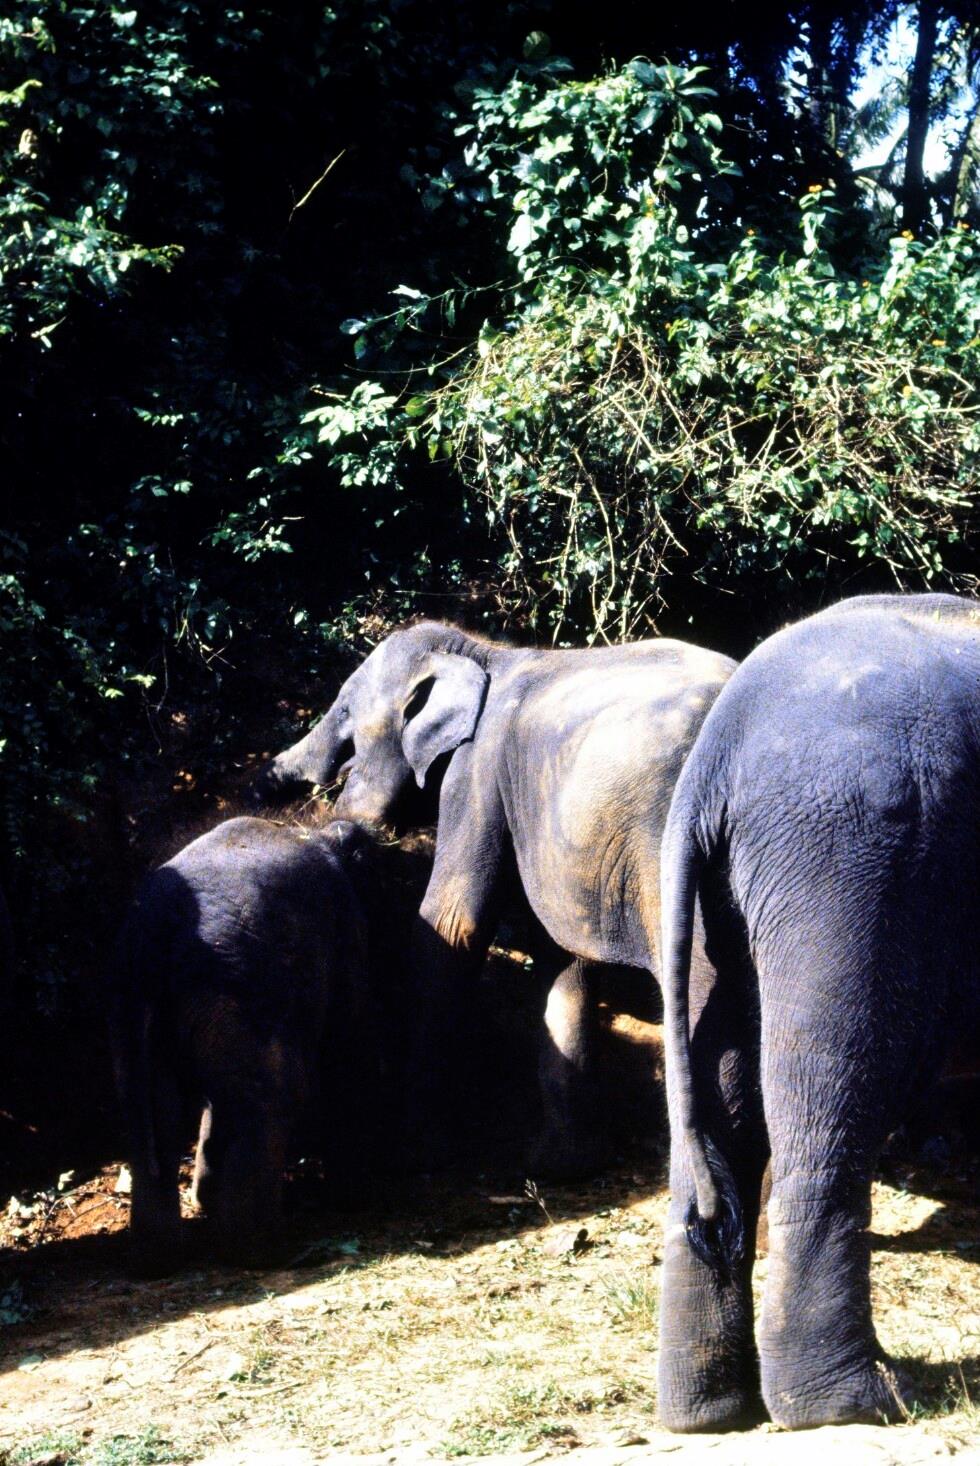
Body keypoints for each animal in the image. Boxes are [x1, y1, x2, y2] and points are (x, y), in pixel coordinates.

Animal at [108, 815, 383, 1274]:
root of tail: (156, 931)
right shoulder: (345, 924)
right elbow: (345, 1042)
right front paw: (355, 1199)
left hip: (133, 1005)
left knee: (153, 1112)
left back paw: (158, 1260)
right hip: (233, 987)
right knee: (273, 1098)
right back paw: (262, 1252)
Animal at [253, 620, 735, 1176]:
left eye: (346, 710)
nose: (258, 790)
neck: (480, 653)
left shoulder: (476, 770)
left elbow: (452, 924)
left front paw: (412, 1151)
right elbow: (561, 958)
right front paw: (559, 1168)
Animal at [658, 592, 980, 1431]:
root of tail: (718, 754)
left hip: (722, 903)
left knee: (722, 1113)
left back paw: (706, 1412)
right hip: (852, 859)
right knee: (832, 1101)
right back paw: (855, 1404)